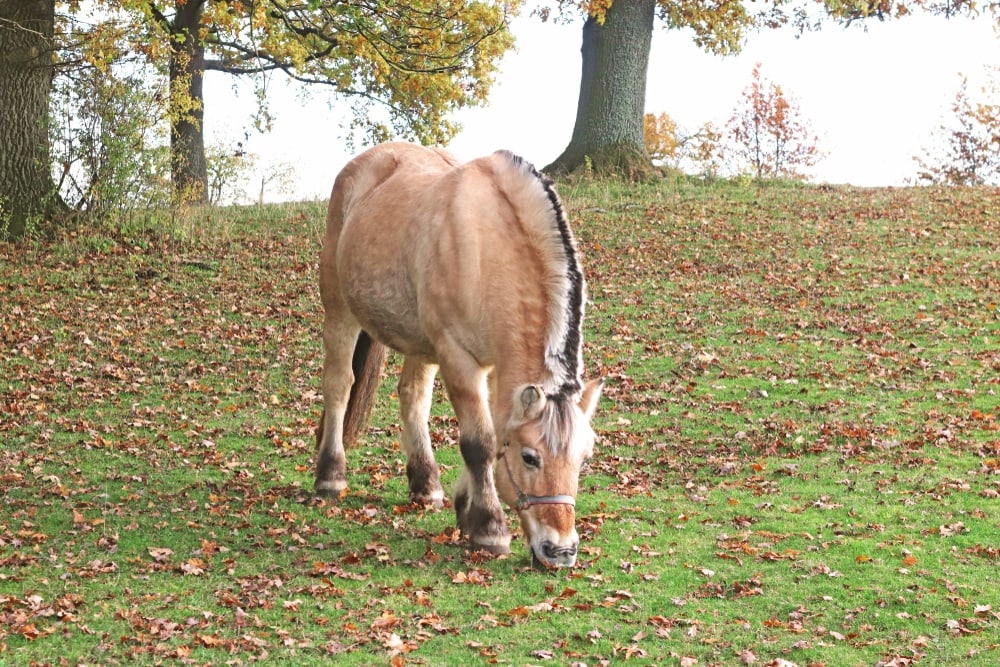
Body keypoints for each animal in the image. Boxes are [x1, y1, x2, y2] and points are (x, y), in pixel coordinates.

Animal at [312, 142, 600, 568]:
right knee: (338, 386)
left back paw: (425, 483)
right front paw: (489, 528)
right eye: (530, 457)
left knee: (413, 396)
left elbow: (493, 433)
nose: (560, 550)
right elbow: (479, 441)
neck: (488, 248)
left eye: (583, 459)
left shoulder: (497, 369)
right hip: (339, 312)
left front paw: (466, 508)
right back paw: (330, 475)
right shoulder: (459, 360)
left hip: (419, 342)